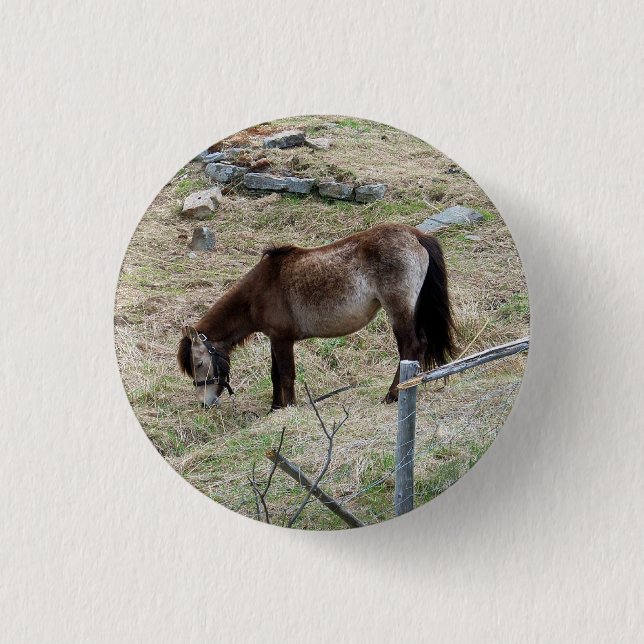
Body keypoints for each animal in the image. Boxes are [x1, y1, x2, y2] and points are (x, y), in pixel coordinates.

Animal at [177, 223, 456, 410]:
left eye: (198, 364)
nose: (205, 403)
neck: (260, 289)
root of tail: (416, 235)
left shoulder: (282, 340)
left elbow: (286, 374)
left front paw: (289, 407)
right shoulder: (274, 339)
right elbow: (275, 374)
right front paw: (275, 408)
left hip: (399, 311)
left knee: (410, 347)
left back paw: (393, 395)